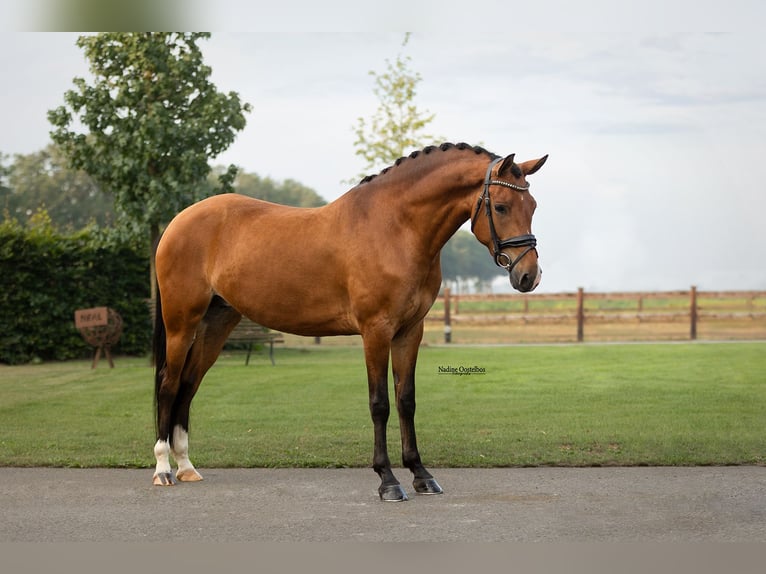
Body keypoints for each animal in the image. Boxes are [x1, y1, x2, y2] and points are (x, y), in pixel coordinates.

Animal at [152, 142, 547, 501]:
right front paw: (388, 480)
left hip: (217, 324)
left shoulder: (409, 332)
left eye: (532, 206)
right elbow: (380, 403)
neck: (395, 227)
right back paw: (163, 469)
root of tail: (178, 221)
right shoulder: (376, 331)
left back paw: (186, 466)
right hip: (181, 323)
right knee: (169, 385)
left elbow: (406, 400)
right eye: (501, 206)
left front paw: (421, 475)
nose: (529, 276)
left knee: (188, 386)